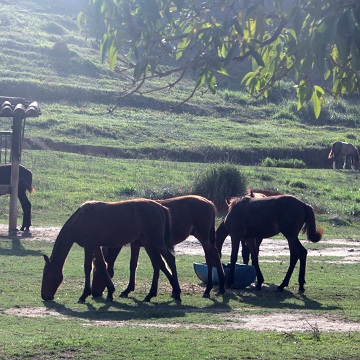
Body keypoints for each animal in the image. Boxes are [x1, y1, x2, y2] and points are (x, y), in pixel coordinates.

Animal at [41, 200, 181, 304]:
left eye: (46, 275)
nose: (44, 296)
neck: (80, 220)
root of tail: (161, 207)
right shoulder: (96, 246)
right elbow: (103, 265)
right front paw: (110, 292)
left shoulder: (89, 245)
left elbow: (87, 267)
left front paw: (84, 295)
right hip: (148, 243)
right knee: (158, 263)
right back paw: (151, 295)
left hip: (156, 242)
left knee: (170, 259)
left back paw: (177, 293)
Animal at [90, 195, 225, 300]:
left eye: (97, 272)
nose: (94, 293)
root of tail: (208, 202)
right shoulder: (137, 245)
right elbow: (135, 265)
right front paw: (128, 290)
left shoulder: (148, 245)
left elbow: (159, 264)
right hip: (206, 239)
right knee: (216, 255)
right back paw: (221, 288)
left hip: (203, 238)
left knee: (209, 259)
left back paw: (207, 290)